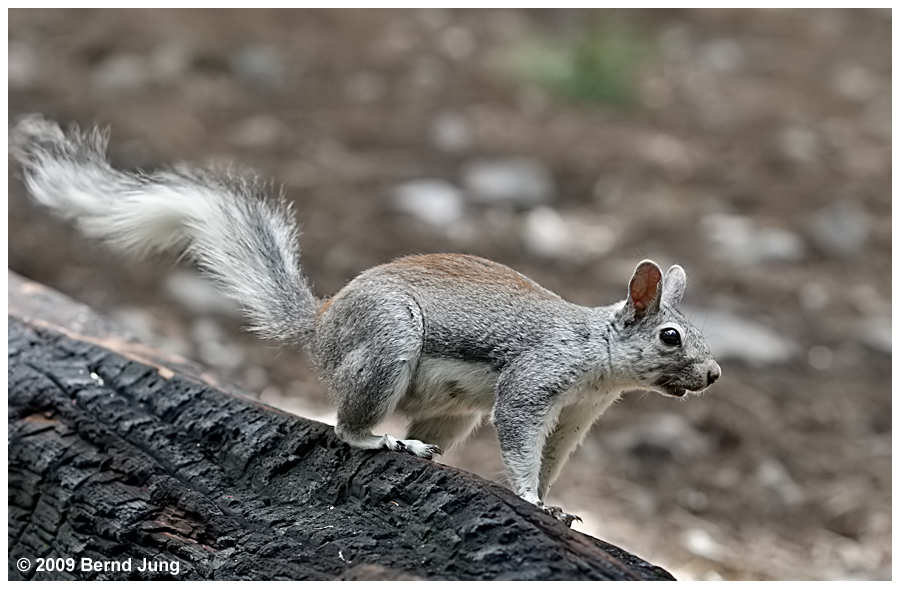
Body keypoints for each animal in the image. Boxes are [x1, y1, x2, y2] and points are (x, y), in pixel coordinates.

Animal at [7, 113, 720, 524]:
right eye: (671, 335)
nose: (713, 375)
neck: (596, 356)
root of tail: (322, 327)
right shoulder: (537, 378)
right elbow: (520, 436)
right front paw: (526, 498)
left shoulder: (576, 417)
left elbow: (551, 458)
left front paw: (555, 506)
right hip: (387, 343)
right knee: (348, 427)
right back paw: (383, 441)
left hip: (449, 410)